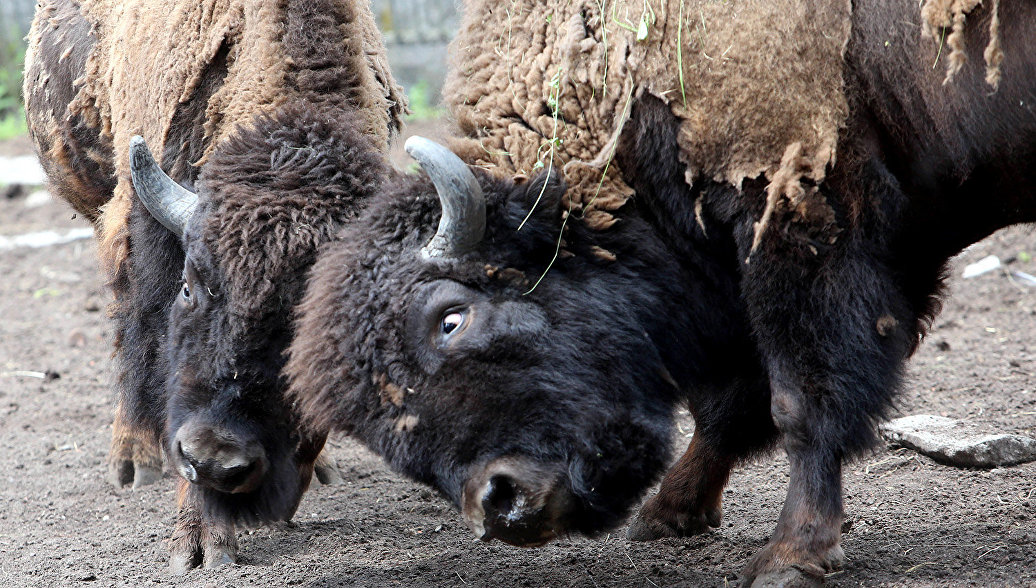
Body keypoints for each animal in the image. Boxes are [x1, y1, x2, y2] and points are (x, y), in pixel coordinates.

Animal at [285, 2, 1036, 583]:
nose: (502, 505)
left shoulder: (798, 234)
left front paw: (789, 557)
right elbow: (731, 406)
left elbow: (797, 402)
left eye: (450, 318)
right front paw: (669, 514)